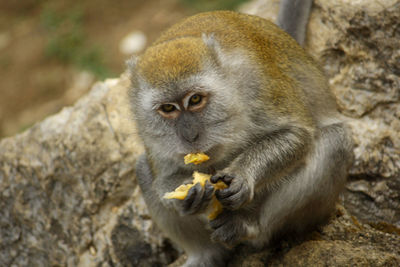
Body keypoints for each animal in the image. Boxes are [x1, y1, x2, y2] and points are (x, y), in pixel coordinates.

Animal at [127, 1, 354, 266]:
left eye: (195, 99)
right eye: (168, 109)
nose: (190, 135)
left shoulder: (256, 81)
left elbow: (296, 134)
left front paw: (243, 174)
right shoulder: (148, 129)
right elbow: (163, 177)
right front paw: (186, 195)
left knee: (335, 141)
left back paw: (250, 226)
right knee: (142, 168)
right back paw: (206, 255)